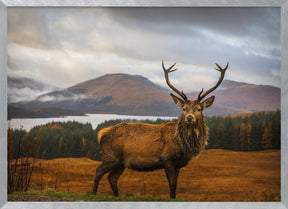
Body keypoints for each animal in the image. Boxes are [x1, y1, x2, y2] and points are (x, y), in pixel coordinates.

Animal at [93, 60, 228, 199]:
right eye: (184, 108)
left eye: (199, 109)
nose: (189, 117)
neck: (183, 145)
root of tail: (100, 133)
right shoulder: (167, 159)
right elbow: (172, 185)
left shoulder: (178, 164)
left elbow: (175, 185)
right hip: (111, 156)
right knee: (98, 171)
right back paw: (94, 193)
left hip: (121, 163)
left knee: (112, 178)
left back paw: (116, 196)